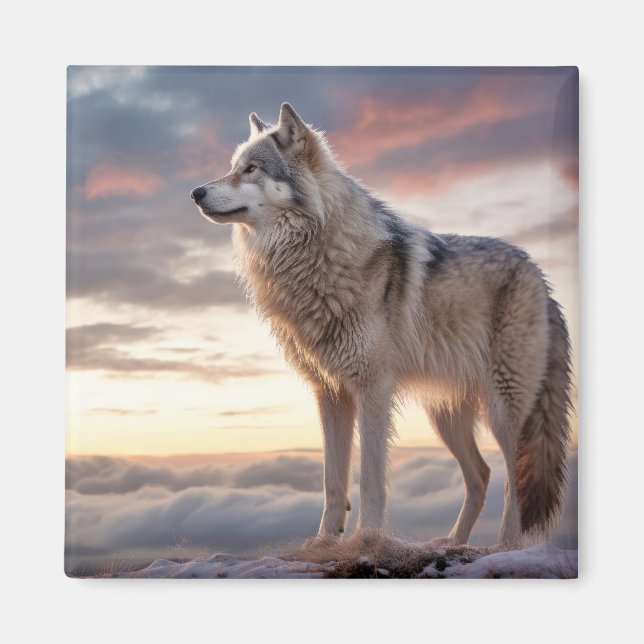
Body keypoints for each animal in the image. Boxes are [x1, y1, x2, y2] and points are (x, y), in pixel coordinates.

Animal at [190, 103, 572, 546]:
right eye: (232, 168)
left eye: (251, 169)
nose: (195, 192)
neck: (316, 254)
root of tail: (540, 277)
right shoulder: (330, 393)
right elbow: (332, 480)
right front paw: (324, 542)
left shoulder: (373, 388)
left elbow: (370, 478)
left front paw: (367, 539)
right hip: (445, 417)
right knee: (482, 475)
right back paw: (451, 543)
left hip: (505, 411)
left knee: (514, 480)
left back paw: (504, 547)